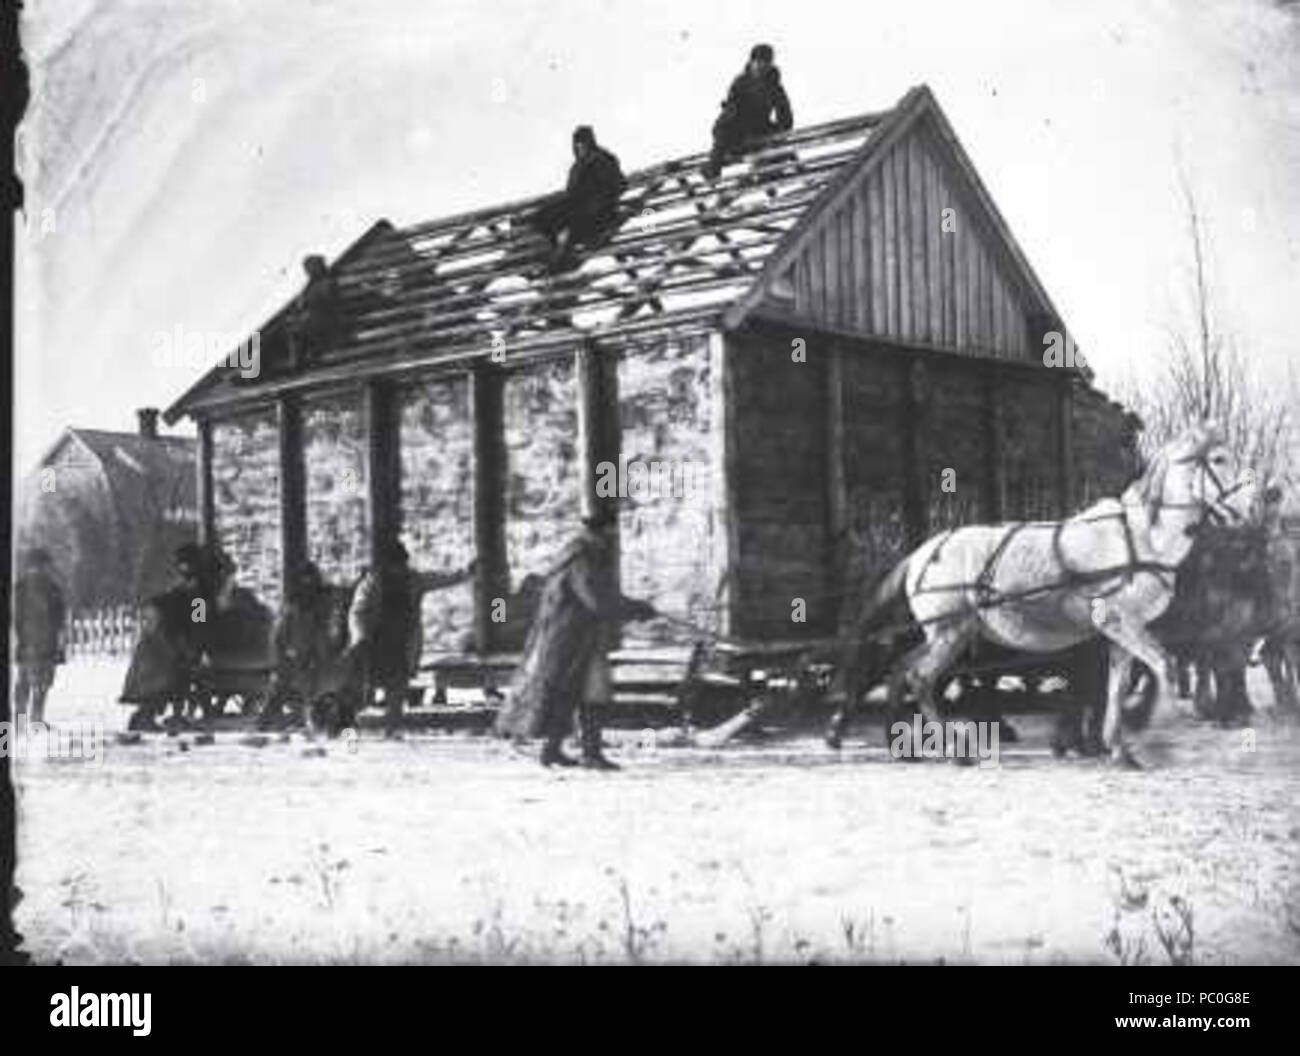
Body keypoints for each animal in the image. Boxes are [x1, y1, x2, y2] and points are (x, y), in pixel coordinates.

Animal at [842, 423, 1258, 764]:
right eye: (1218, 459)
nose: (1245, 511)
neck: (1139, 539)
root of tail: (923, 552)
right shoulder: (1116, 619)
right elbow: (1163, 665)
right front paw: (1147, 726)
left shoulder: (1121, 631)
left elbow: (1117, 685)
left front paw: (1119, 748)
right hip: (950, 632)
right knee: (920, 679)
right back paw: (954, 750)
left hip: (949, 634)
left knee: (901, 670)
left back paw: (902, 744)